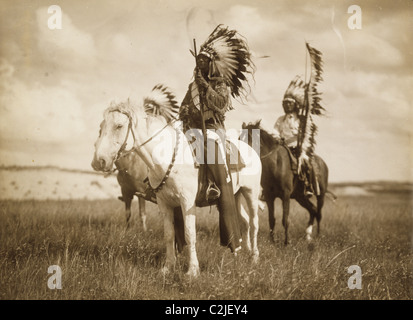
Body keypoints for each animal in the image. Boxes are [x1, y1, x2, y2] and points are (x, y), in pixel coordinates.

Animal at [92, 100, 260, 278]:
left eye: (119, 126)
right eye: (101, 126)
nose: (99, 161)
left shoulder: (187, 203)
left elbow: (189, 234)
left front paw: (192, 270)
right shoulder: (164, 204)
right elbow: (169, 235)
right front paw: (168, 267)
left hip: (251, 193)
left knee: (254, 222)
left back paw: (254, 257)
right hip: (236, 195)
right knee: (244, 221)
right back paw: (241, 252)